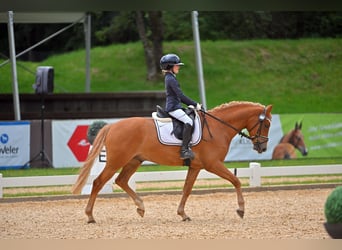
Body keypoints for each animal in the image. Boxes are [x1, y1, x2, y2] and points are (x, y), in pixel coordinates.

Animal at [72, 100, 272, 224]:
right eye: (267, 124)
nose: (262, 147)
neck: (218, 127)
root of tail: (113, 125)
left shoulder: (196, 167)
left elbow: (187, 189)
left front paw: (183, 214)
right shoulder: (213, 164)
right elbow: (236, 181)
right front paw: (241, 210)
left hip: (133, 161)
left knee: (121, 180)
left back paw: (141, 207)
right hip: (115, 162)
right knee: (98, 182)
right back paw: (90, 216)